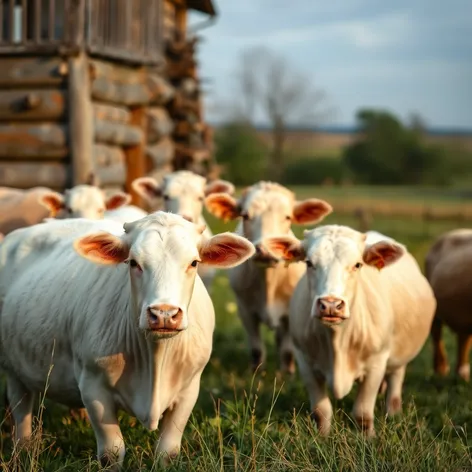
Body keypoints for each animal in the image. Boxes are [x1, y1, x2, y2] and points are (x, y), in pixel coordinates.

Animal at [0, 213, 254, 468]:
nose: (164, 313)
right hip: (13, 369)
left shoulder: (189, 388)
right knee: (21, 410)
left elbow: (167, 452)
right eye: (133, 263)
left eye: (193, 263)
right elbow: (111, 452)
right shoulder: (93, 385)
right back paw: (23, 450)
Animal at [205, 183, 334, 374]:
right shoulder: (245, 311)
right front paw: (257, 372)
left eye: (287, 217)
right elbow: (256, 349)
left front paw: (287, 374)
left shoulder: (288, 314)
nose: (265, 251)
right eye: (245, 215)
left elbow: (287, 351)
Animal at [262, 225, 436, 436]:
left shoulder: (376, 363)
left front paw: (368, 438)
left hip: (399, 355)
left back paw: (394, 413)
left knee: (395, 381)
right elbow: (321, 410)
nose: (330, 304)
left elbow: (362, 413)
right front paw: (322, 437)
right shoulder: (305, 361)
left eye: (357, 265)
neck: (337, 342)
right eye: (309, 263)